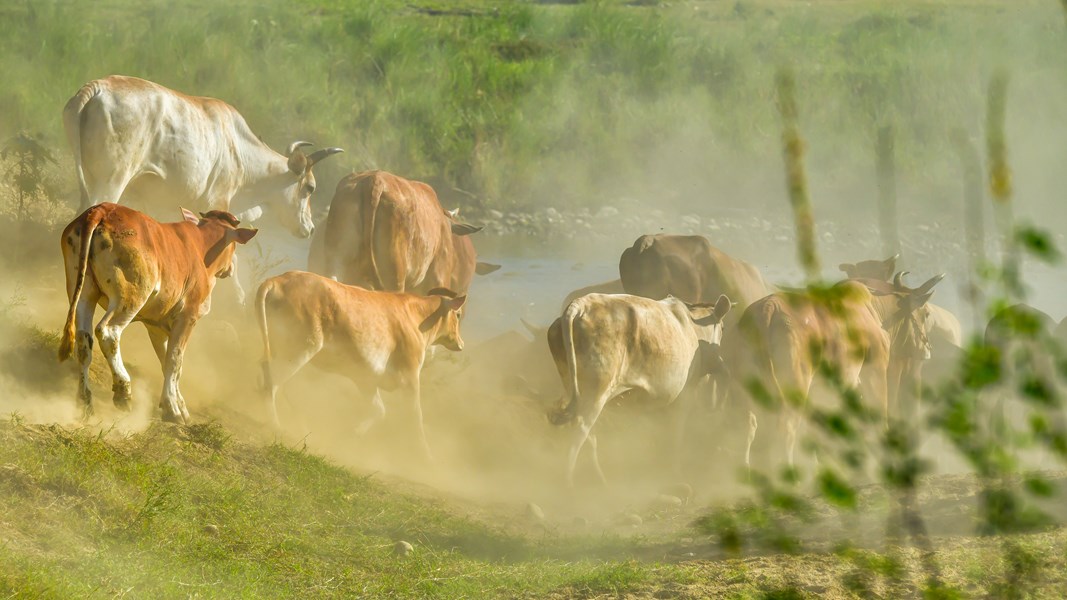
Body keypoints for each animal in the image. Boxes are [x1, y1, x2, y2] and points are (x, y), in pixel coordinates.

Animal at [58, 200, 258, 420]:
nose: (230, 268)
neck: (200, 249)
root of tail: (101, 210)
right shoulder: (188, 317)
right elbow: (175, 360)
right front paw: (173, 408)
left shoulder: (155, 325)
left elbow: (167, 362)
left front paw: (179, 405)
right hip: (129, 297)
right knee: (108, 332)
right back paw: (123, 391)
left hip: (84, 293)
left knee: (84, 341)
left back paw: (85, 400)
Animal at [253, 271, 467, 456]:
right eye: (458, 315)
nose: (461, 343)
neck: (416, 318)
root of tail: (280, 280)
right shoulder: (410, 378)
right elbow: (415, 416)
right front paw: (426, 455)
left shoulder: (366, 380)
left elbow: (378, 410)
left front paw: (352, 432)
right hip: (301, 349)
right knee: (271, 383)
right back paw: (276, 424)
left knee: (272, 376)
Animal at [546, 292, 729, 482]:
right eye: (723, 329)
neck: (693, 328)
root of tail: (581, 304)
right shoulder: (684, 397)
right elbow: (676, 435)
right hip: (596, 391)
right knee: (579, 431)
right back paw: (569, 483)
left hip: (575, 388)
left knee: (587, 433)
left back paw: (600, 479)